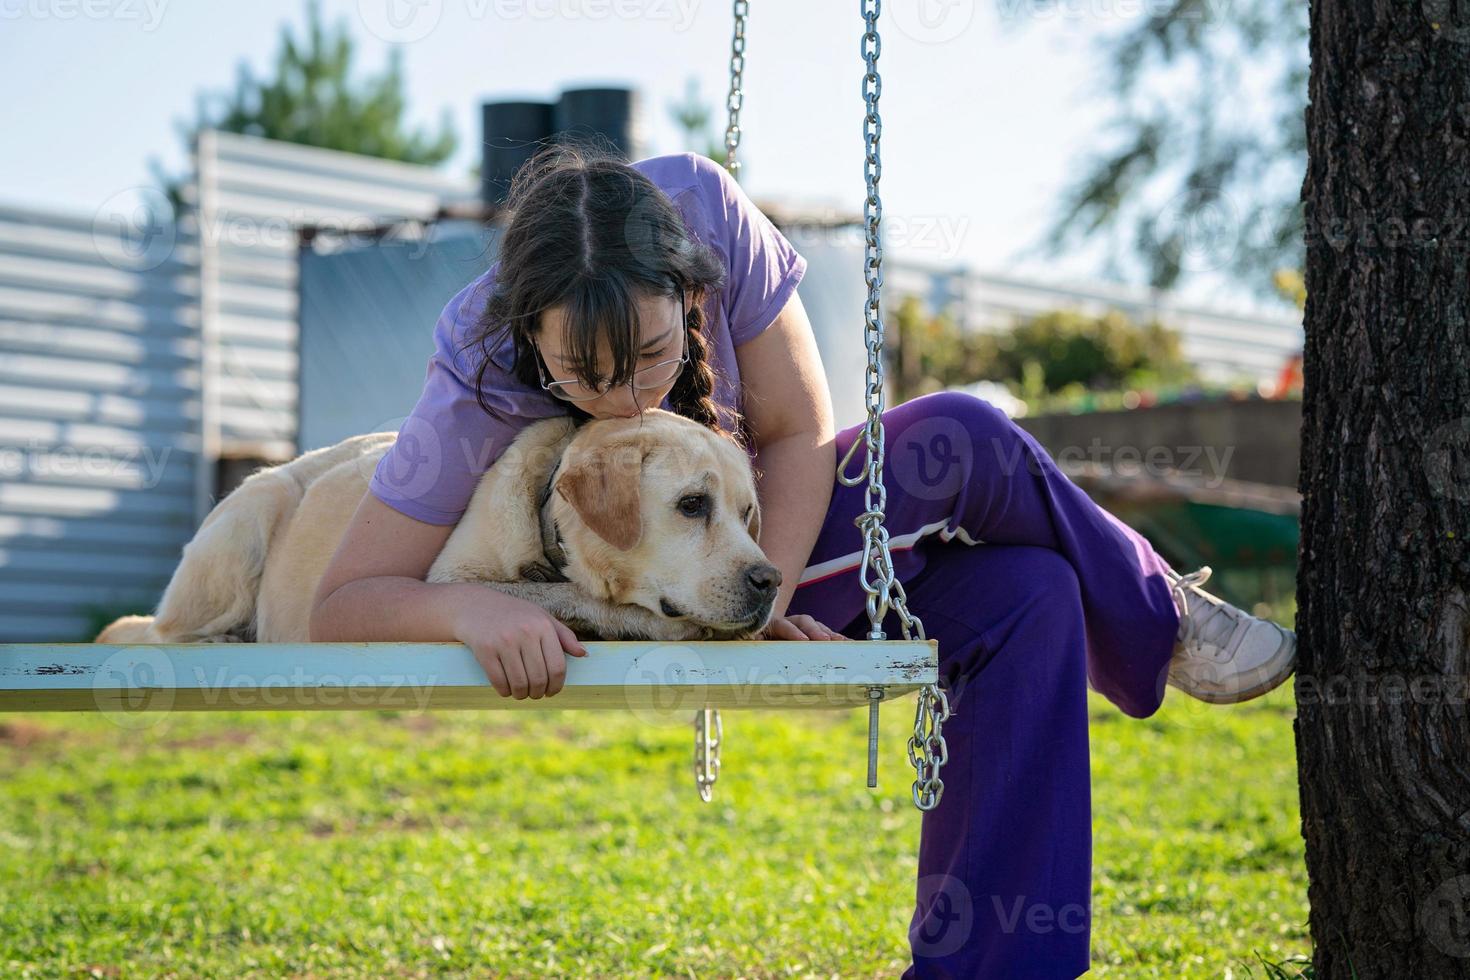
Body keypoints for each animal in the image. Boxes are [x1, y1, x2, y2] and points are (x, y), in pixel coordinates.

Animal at [94, 411, 782, 646]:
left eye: (748, 513)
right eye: (692, 504)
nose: (770, 581)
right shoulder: (447, 582)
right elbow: (564, 596)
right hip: (252, 511)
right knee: (158, 633)